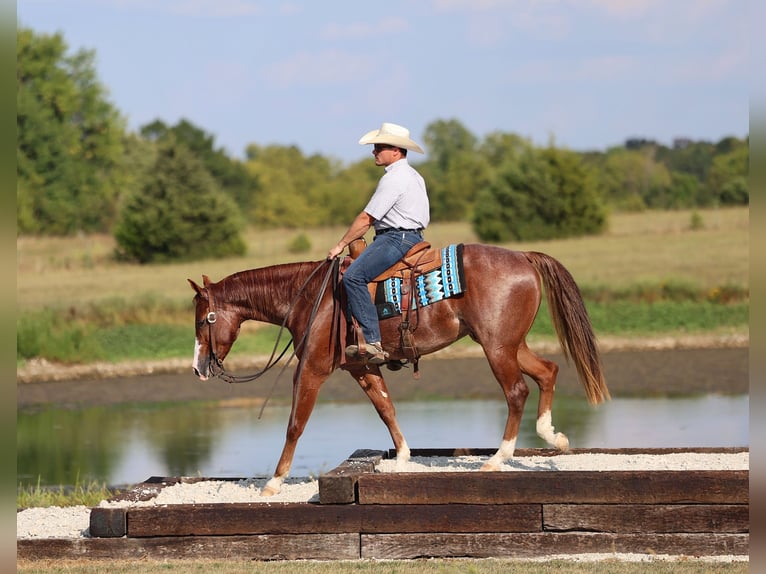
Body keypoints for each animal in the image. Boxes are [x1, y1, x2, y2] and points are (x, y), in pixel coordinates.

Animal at [189, 243, 610, 496]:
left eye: (204, 319)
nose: (197, 368)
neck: (310, 297)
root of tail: (523, 256)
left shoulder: (311, 369)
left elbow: (296, 423)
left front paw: (274, 482)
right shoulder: (361, 367)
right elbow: (386, 407)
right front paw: (403, 457)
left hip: (496, 348)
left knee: (517, 391)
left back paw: (496, 459)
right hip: (509, 345)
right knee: (548, 371)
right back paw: (554, 437)